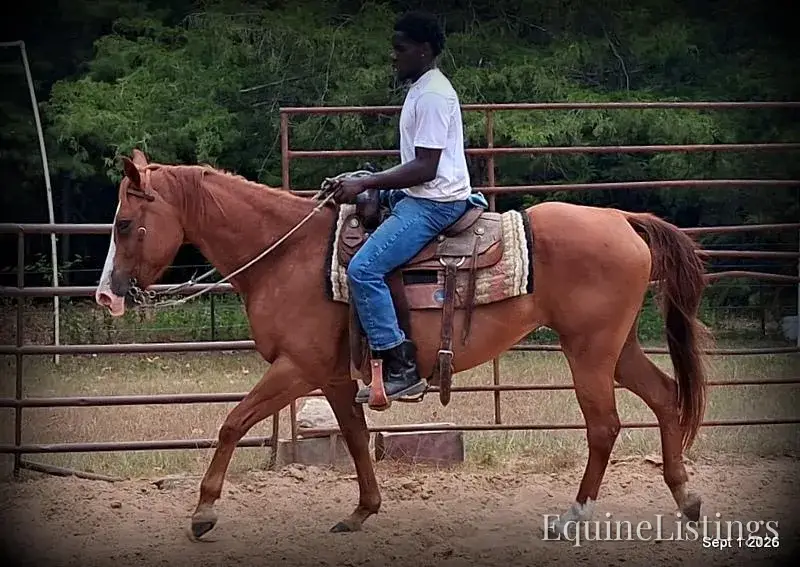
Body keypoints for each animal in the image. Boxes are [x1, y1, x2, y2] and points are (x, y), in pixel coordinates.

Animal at [94, 149, 711, 540]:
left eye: (124, 224)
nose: (106, 295)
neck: (286, 256)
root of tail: (621, 218)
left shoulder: (297, 368)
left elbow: (232, 423)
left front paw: (203, 512)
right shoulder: (333, 376)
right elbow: (355, 437)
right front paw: (362, 512)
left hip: (589, 351)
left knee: (605, 425)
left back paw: (574, 517)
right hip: (617, 348)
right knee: (665, 395)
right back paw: (686, 499)